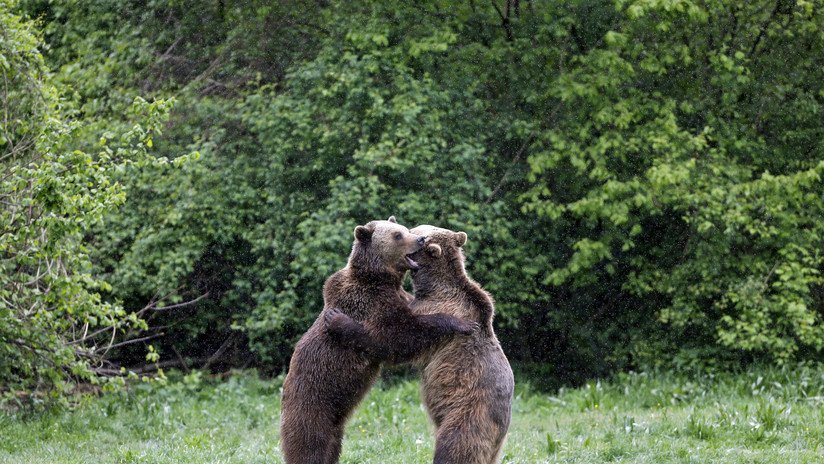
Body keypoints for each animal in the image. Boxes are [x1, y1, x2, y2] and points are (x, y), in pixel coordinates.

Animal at [279, 217, 476, 464]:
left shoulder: (398, 297)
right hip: (312, 405)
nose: (420, 239)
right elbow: (396, 337)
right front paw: (460, 322)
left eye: (405, 229)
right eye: (398, 235)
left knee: (331, 447)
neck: (379, 279)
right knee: (309, 446)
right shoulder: (369, 303)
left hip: (335, 423)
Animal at [325, 225, 514, 464]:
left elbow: (394, 339)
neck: (432, 285)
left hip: (467, 416)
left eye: (417, 233)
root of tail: (500, 429)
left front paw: (339, 321)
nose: (417, 237)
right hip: (494, 445)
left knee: (453, 447)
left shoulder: (431, 307)